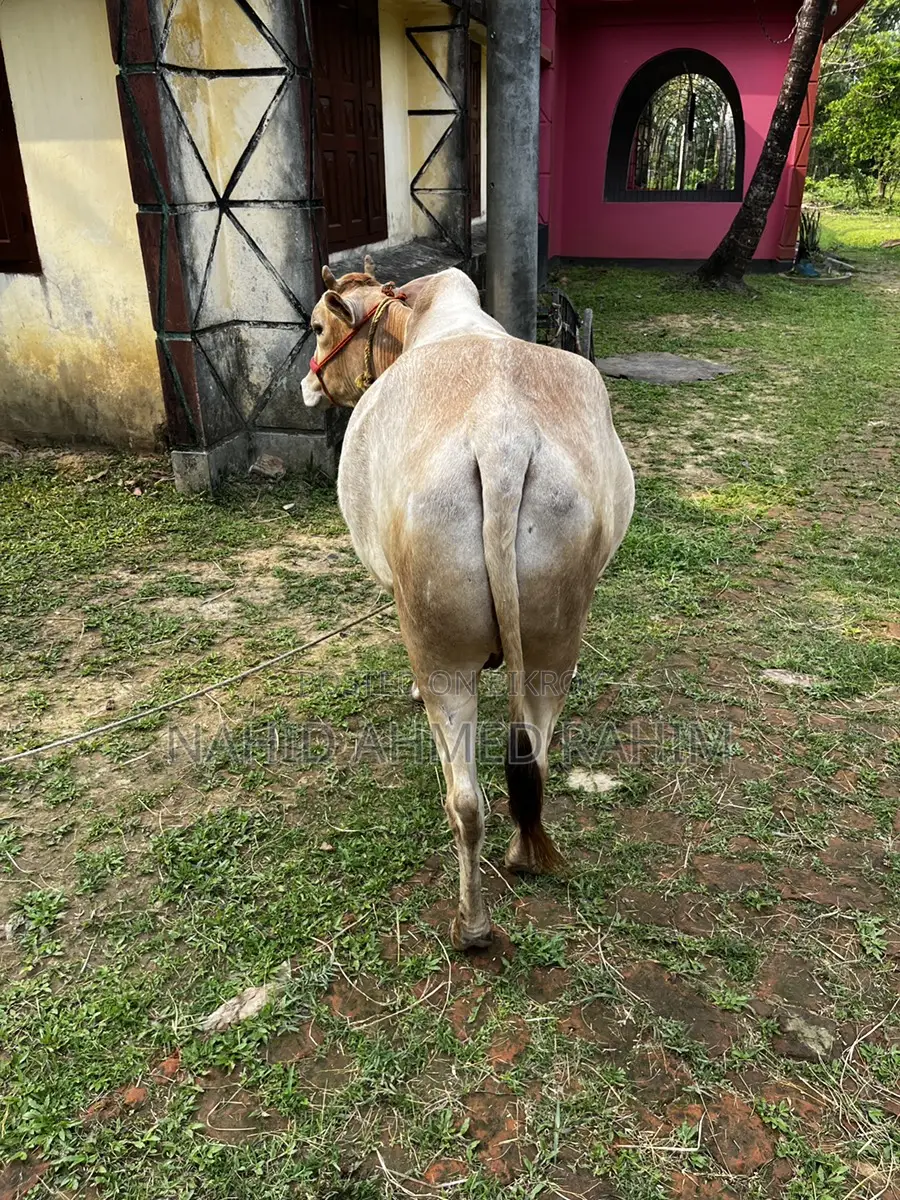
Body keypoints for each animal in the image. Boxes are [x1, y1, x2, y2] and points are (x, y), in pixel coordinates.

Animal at [302, 258, 634, 951]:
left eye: (318, 326)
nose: (307, 386)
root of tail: (500, 441)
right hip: (555, 644)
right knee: (532, 761)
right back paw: (522, 856)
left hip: (443, 657)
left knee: (466, 802)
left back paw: (473, 924)